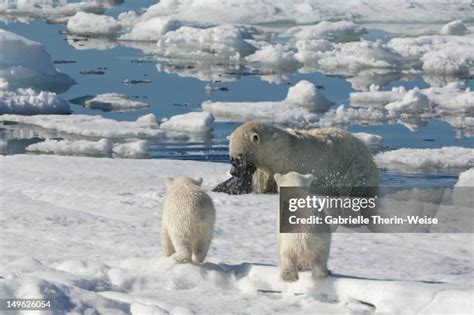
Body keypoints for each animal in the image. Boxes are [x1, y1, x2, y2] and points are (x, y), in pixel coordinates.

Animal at [215, 121, 378, 199]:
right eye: (230, 157)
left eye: (238, 157)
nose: (233, 172)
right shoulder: (266, 168)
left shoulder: (284, 164)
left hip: (353, 166)